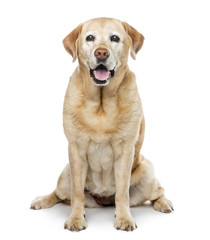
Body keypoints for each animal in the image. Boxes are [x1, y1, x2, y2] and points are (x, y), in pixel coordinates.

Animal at [30, 16, 172, 231]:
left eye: (114, 38)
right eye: (90, 38)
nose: (102, 53)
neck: (101, 101)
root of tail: (104, 201)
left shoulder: (125, 151)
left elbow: (122, 192)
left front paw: (124, 218)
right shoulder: (75, 150)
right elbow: (77, 193)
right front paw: (76, 218)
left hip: (147, 172)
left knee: (158, 191)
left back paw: (164, 203)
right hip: (66, 174)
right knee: (60, 194)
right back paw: (41, 201)